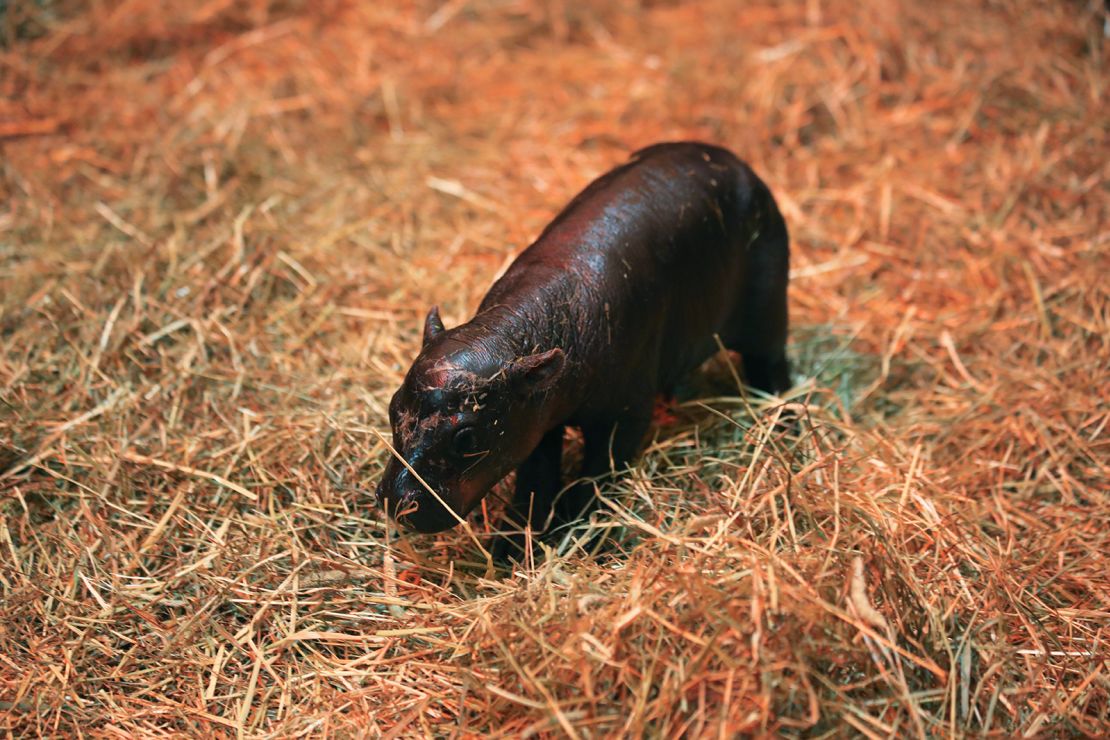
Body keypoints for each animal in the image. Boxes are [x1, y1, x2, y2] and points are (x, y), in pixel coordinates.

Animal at [379, 138, 790, 559]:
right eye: (393, 407)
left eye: (466, 437)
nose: (397, 503)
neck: (512, 333)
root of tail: (734, 160)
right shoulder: (537, 420)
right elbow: (535, 482)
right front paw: (511, 549)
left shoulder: (624, 416)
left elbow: (597, 475)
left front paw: (578, 535)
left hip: (768, 309)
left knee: (771, 363)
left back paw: (780, 418)